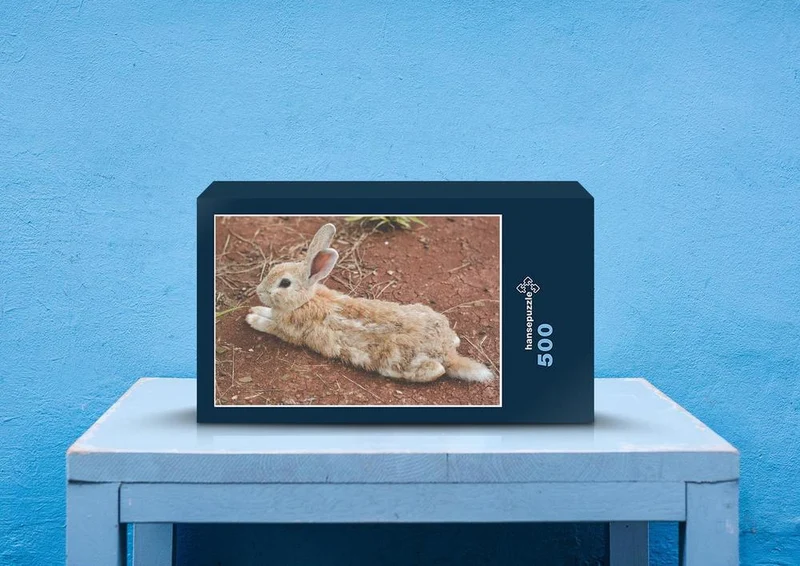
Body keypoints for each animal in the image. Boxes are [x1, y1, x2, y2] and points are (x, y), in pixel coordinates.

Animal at [245, 223, 495, 383]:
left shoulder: (289, 331)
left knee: (436, 371)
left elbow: (269, 325)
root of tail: (446, 352)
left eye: (284, 283)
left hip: (399, 362)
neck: (305, 300)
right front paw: (256, 309)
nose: (259, 291)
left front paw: (252, 317)